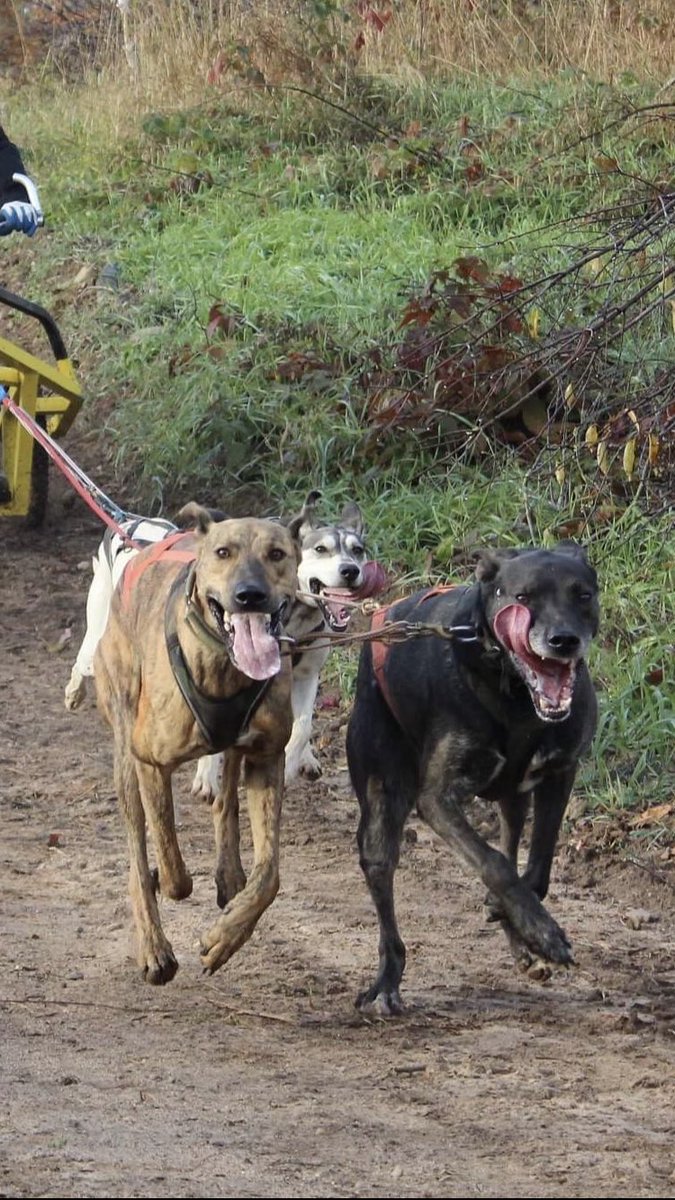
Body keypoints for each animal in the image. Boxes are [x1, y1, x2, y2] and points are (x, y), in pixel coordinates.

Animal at [93, 506, 297, 984]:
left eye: (277, 553)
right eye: (223, 552)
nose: (249, 596)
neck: (225, 665)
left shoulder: (267, 757)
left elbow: (270, 874)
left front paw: (225, 937)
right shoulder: (149, 761)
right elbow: (170, 858)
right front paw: (168, 883)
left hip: (234, 750)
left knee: (225, 803)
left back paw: (229, 876)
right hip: (124, 749)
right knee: (137, 853)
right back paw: (154, 948)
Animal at [343, 544, 595, 1012]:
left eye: (582, 594)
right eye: (524, 597)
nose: (563, 640)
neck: (516, 697)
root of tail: (387, 614)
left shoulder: (560, 773)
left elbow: (535, 869)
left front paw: (528, 928)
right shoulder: (438, 800)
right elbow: (494, 864)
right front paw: (543, 932)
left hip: (514, 800)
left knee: (512, 842)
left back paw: (518, 938)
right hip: (381, 803)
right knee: (384, 883)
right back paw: (387, 981)